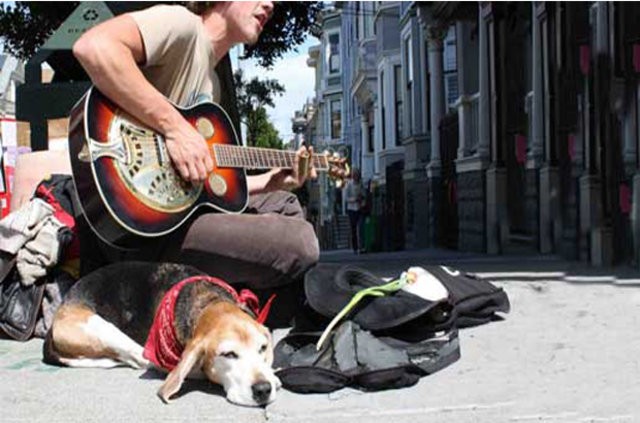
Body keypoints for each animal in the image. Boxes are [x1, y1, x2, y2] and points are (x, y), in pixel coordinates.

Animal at [42, 262, 278, 408]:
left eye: (263, 348)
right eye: (228, 354)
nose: (263, 389)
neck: (209, 301)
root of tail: (63, 305)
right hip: (103, 328)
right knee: (139, 359)